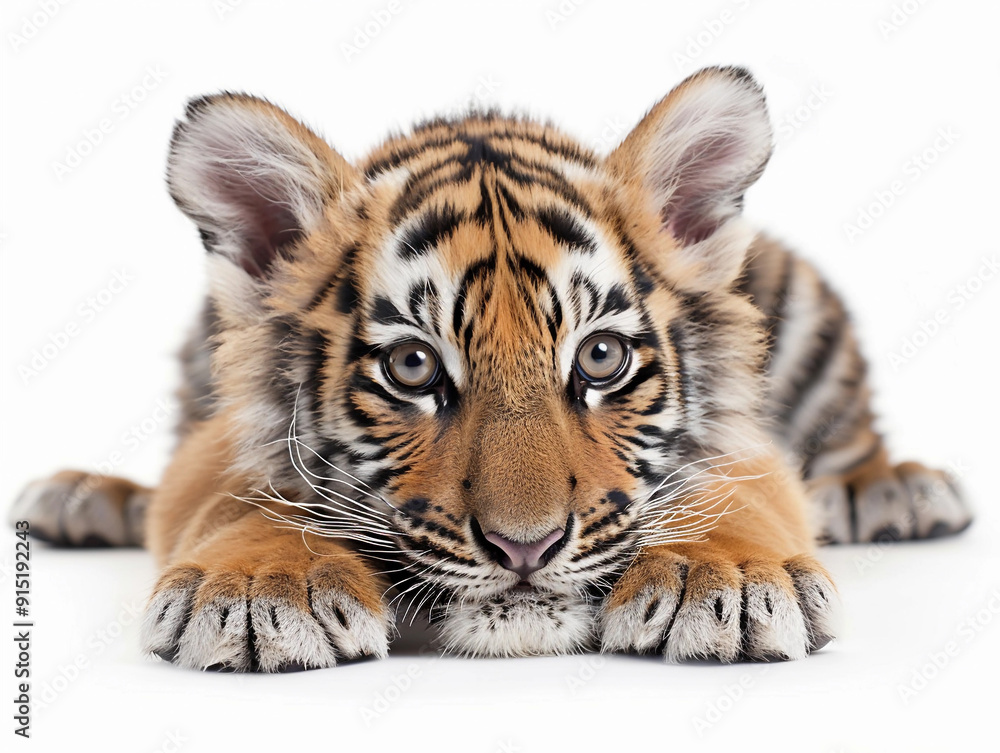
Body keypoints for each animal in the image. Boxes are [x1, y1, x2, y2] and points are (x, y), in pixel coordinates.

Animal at [9, 66, 972, 670]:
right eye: (411, 366)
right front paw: (257, 589)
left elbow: (734, 491)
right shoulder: (218, 445)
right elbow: (232, 497)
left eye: (600, 356)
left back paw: (891, 488)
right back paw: (84, 498)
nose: (526, 547)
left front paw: (726, 581)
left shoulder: (746, 445)